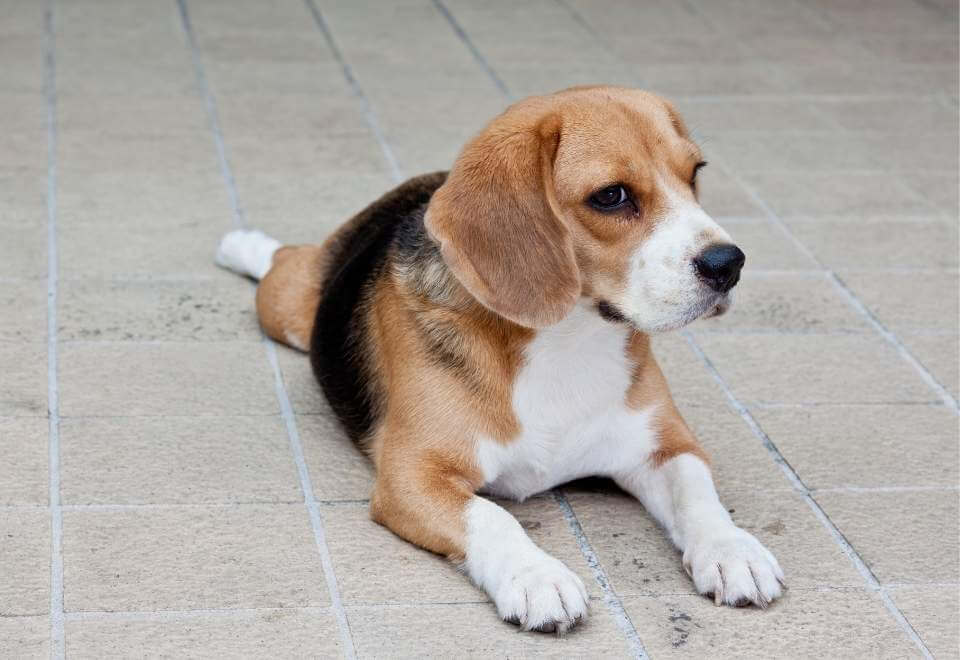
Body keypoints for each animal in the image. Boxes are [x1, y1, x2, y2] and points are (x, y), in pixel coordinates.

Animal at [216, 85, 780, 632]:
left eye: (695, 173)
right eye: (611, 196)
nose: (729, 263)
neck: (568, 340)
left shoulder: (668, 445)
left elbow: (697, 493)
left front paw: (732, 549)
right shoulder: (413, 475)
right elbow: (491, 516)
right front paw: (536, 577)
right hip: (289, 309)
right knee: (284, 261)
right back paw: (242, 244)